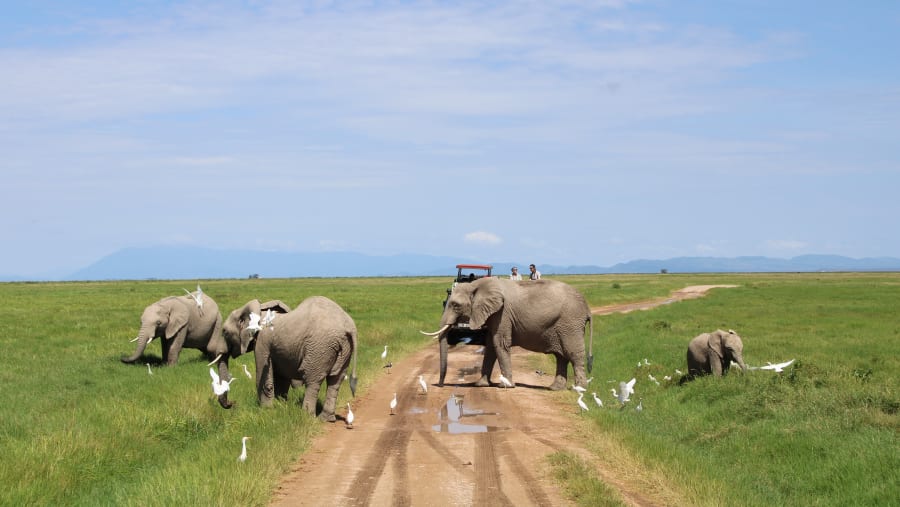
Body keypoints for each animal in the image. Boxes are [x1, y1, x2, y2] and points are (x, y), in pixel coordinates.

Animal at [221, 296, 359, 421]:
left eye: (224, 332)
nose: (233, 404)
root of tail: (349, 327)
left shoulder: (262, 342)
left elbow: (262, 378)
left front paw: (267, 410)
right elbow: (282, 378)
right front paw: (281, 405)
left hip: (320, 346)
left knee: (313, 379)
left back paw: (306, 416)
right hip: (344, 349)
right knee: (335, 380)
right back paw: (326, 419)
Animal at [421, 277, 593, 391]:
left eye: (456, 305)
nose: (440, 385)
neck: (476, 285)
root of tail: (587, 308)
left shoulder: (502, 314)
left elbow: (500, 343)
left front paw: (506, 386)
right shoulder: (494, 315)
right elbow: (491, 346)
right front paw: (481, 384)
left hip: (571, 323)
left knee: (573, 354)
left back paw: (580, 389)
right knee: (561, 357)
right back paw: (555, 388)